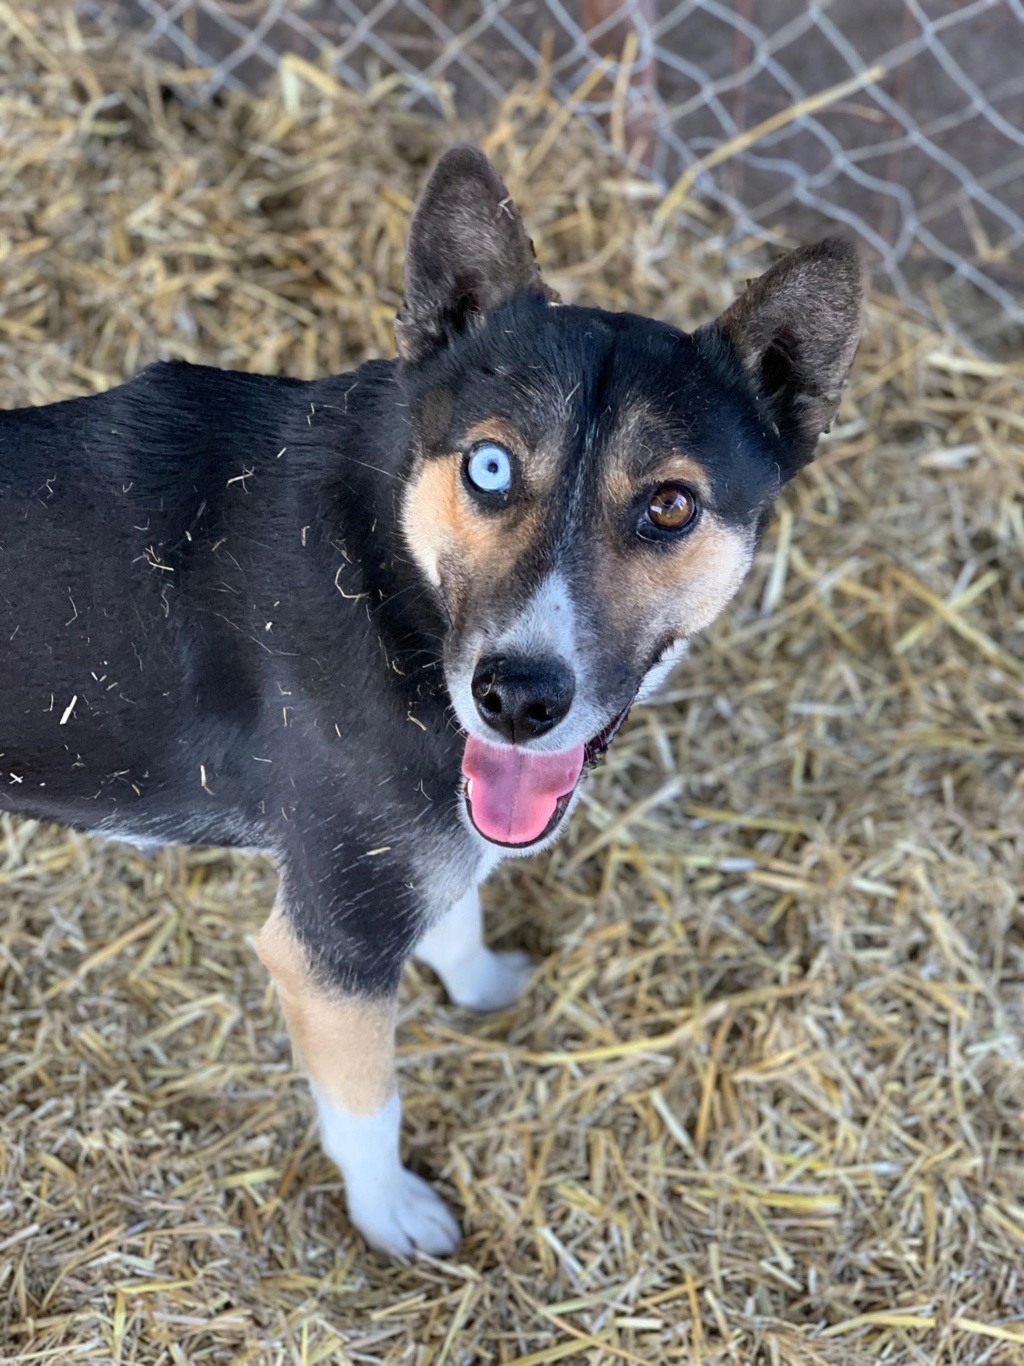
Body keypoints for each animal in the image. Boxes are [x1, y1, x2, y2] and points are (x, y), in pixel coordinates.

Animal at [0, 146, 868, 1256]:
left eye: (670, 504)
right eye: (489, 466)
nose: (517, 699)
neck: (388, 571)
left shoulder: (441, 825)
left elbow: (459, 903)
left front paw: (484, 981)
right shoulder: (333, 943)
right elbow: (367, 1105)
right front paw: (392, 1217)